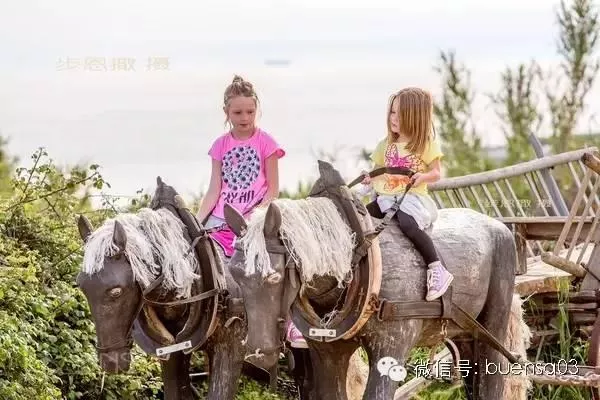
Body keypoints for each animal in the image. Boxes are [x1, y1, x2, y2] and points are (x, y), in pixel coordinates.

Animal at [221, 162, 531, 400]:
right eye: (234, 273)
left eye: (274, 276)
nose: (257, 355)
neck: (358, 262)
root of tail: (501, 226)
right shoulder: (326, 351)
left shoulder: (393, 343)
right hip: (465, 332)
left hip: (494, 320)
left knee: (493, 376)